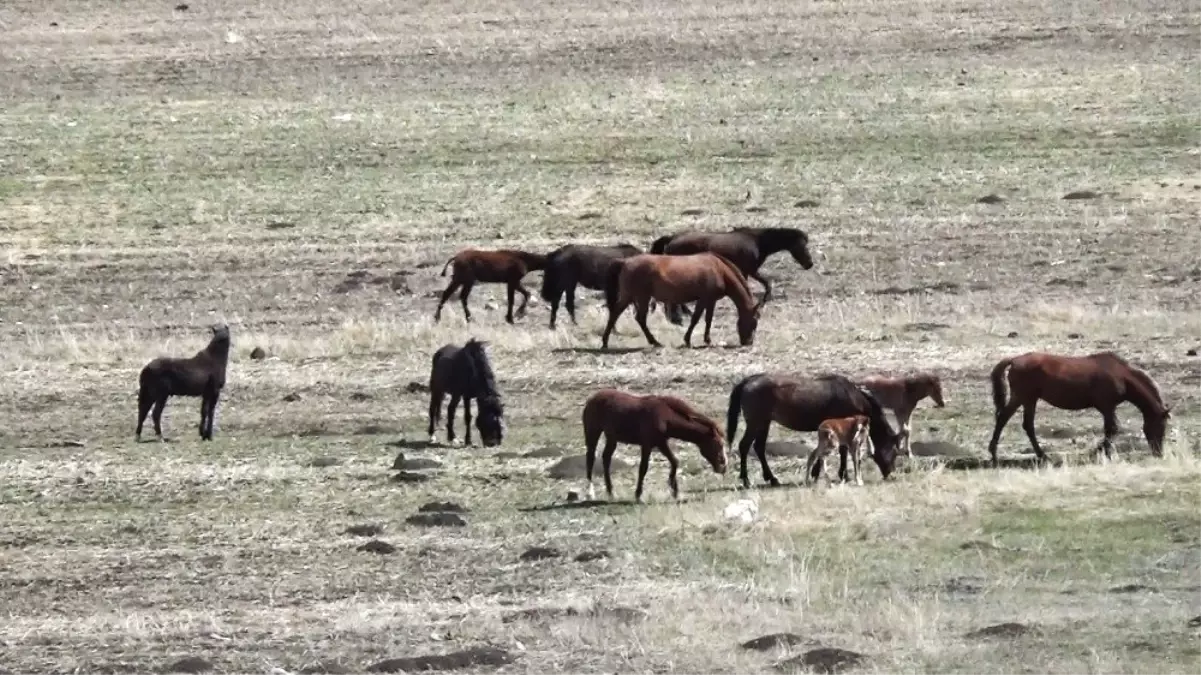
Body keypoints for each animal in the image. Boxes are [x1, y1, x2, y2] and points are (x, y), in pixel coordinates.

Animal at [578, 386, 720, 502]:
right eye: (718, 445)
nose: (723, 467)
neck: (665, 416)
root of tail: (591, 399)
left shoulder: (661, 443)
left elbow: (674, 461)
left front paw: (674, 489)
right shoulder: (647, 445)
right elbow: (643, 468)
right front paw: (638, 495)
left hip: (612, 438)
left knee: (606, 458)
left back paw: (611, 493)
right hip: (593, 433)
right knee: (590, 458)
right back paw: (590, 493)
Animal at [600, 251, 759, 348]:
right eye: (754, 322)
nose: (749, 342)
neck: (719, 269)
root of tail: (625, 262)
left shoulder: (710, 301)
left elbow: (707, 319)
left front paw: (705, 339)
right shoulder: (705, 299)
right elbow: (697, 318)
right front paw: (689, 340)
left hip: (629, 296)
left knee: (615, 314)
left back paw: (605, 342)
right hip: (642, 297)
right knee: (639, 319)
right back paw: (654, 342)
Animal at [648, 224, 816, 324]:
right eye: (801, 245)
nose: (809, 264)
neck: (757, 242)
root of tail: (672, 238)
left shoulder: (746, 271)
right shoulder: (750, 270)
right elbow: (766, 284)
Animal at [720, 369, 903, 485]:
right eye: (894, 451)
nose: (891, 474)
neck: (852, 397)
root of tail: (748, 381)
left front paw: (817, 473)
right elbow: (842, 451)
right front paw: (843, 475)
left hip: (764, 423)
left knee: (758, 447)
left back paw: (772, 479)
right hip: (756, 422)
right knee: (744, 446)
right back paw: (746, 480)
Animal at [984, 348, 1172, 466]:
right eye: (1161, 426)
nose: (1159, 453)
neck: (1122, 375)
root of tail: (1014, 360)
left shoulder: (1108, 408)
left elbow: (1111, 430)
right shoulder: (1107, 406)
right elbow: (1112, 429)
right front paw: (1100, 452)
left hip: (1027, 399)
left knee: (1019, 423)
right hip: (1025, 398)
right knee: (1009, 420)